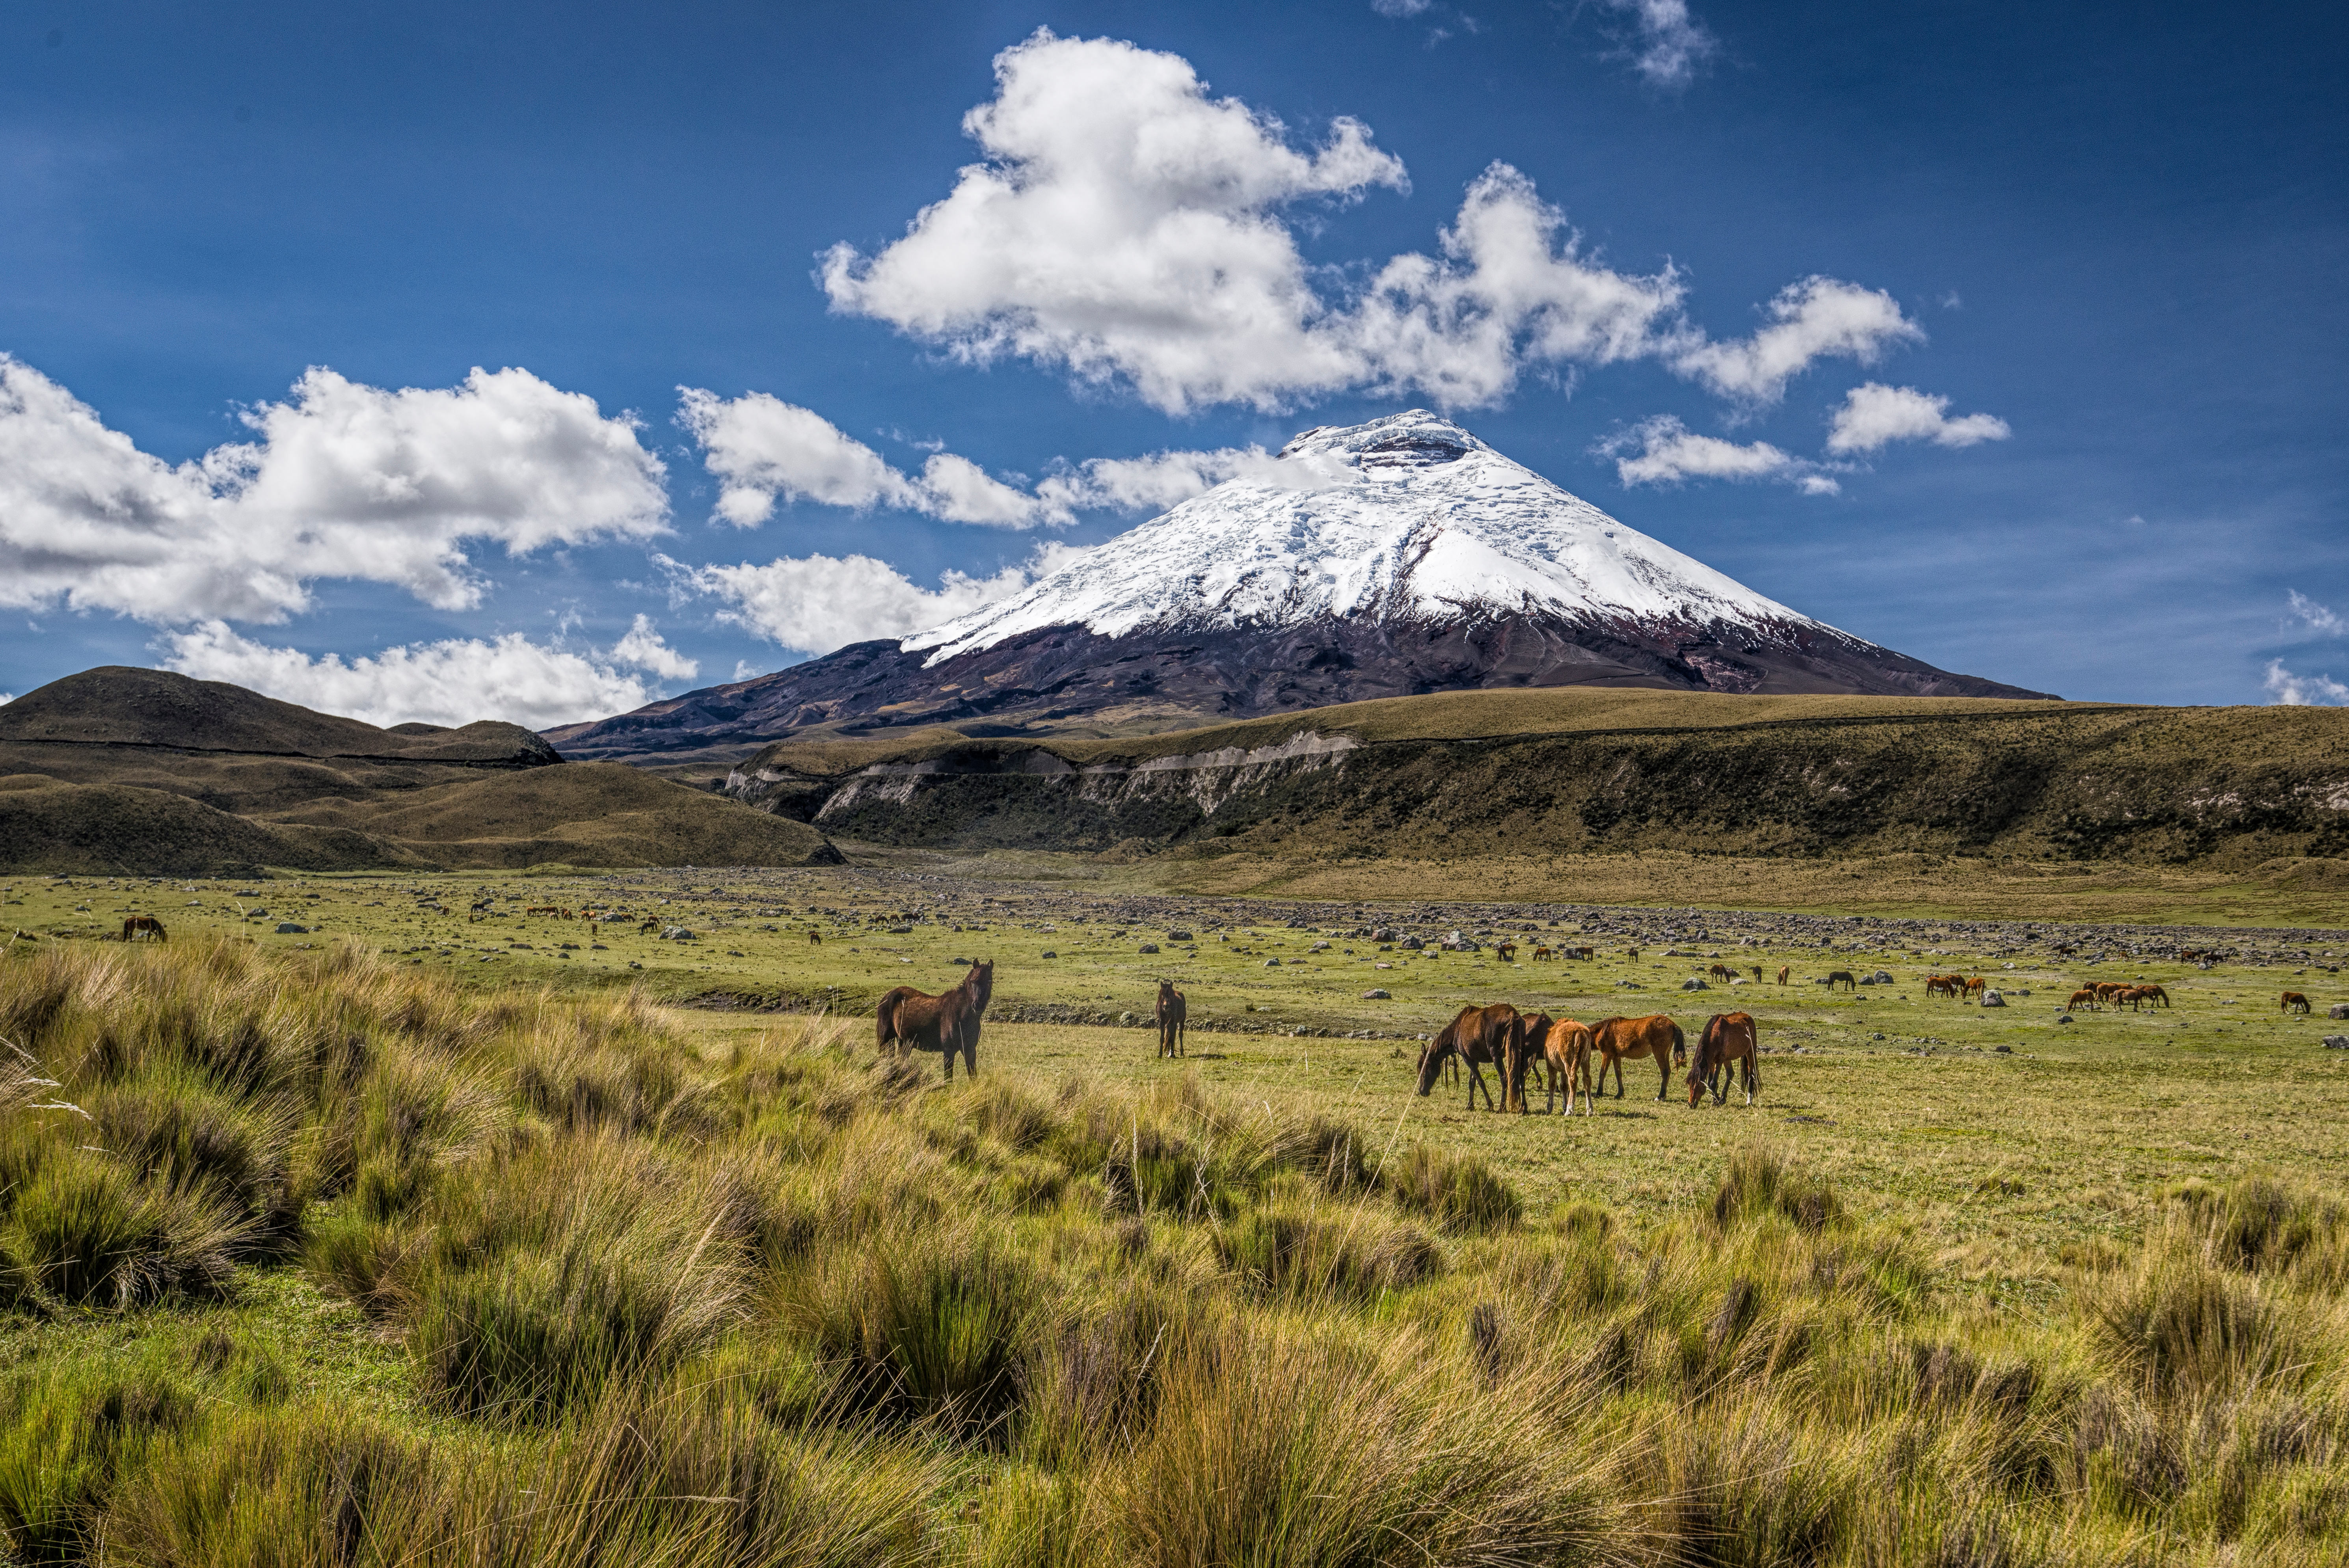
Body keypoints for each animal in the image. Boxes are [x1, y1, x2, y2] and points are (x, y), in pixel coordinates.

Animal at [879, 964, 996, 1086]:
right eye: (973, 981)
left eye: (990, 981)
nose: (977, 1005)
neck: (962, 1015)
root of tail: (887, 996)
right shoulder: (949, 1051)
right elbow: (948, 1078)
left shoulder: (970, 1049)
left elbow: (972, 1075)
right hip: (886, 1040)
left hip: (904, 1043)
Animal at [1160, 973, 1193, 1062]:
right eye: (1162, 995)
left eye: (1171, 995)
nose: (1166, 1006)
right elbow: (1166, 1036)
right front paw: (1165, 1051)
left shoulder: (1174, 1022)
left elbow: (1173, 1036)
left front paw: (1171, 1054)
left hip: (1181, 1021)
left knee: (1179, 1035)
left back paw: (1181, 1052)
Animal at [1409, 1006, 1522, 1114]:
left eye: (1425, 1066)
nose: (1422, 1091)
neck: (1457, 1031)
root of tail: (1512, 1016)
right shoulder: (1474, 1060)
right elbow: (1472, 1083)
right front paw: (1470, 1106)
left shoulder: (1467, 1059)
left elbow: (1480, 1082)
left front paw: (1490, 1105)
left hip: (1496, 1057)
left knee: (1504, 1078)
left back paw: (1502, 1108)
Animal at [1588, 1020, 1682, 1105]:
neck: (1603, 1031)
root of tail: (1673, 1025)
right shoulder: (1616, 1057)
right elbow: (1618, 1074)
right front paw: (1619, 1094)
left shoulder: (1607, 1055)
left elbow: (1602, 1073)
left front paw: (1599, 1094)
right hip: (1666, 1054)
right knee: (1669, 1071)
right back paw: (1664, 1096)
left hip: (1659, 1053)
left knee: (1665, 1072)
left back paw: (1660, 1097)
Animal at [1691, 1011, 1766, 1110]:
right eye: (1689, 1084)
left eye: (1697, 1085)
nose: (1691, 1104)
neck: (1716, 1035)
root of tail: (1748, 1017)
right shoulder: (1712, 1062)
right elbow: (1709, 1083)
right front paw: (1717, 1100)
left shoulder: (1719, 1061)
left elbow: (1713, 1083)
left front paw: (1716, 1101)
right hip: (1727, 1059)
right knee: (1731, 1074)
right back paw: (1723, 1098)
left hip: (1750, 1052)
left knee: (1751, 1074)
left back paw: (1749, 1101)